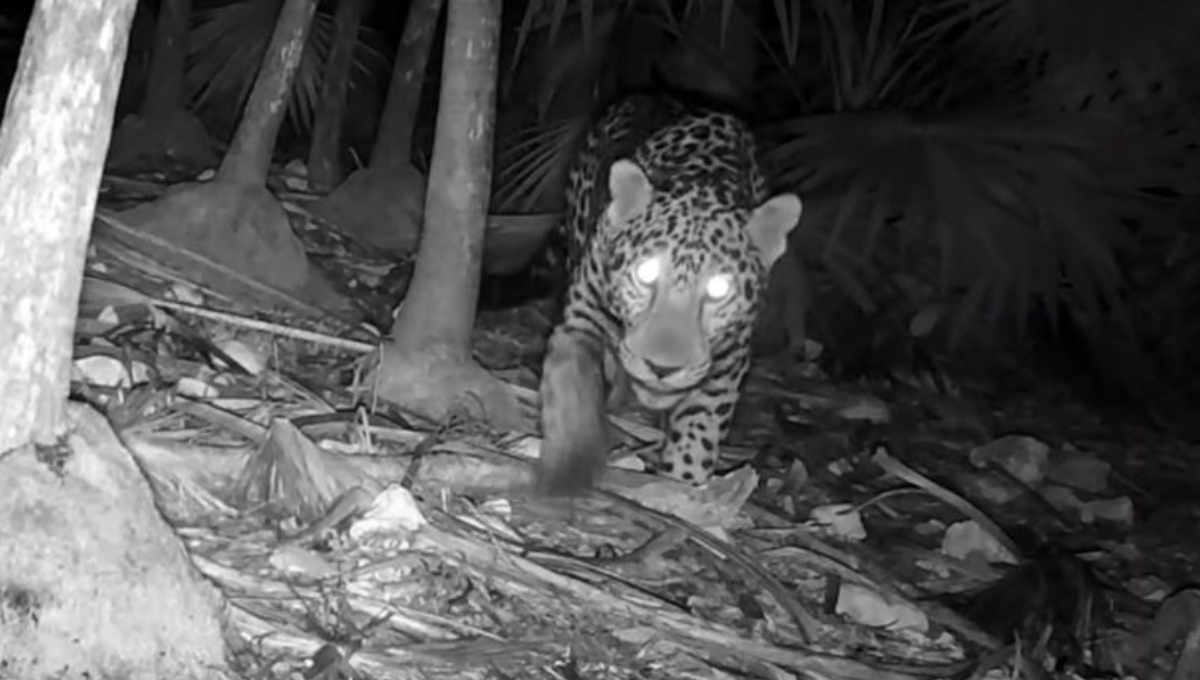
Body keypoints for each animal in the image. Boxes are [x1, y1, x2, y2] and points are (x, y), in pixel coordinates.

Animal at [537, 94, 803, 494]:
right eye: (645, 273)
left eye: (718, 289)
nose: (662, 369)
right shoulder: (581, 320)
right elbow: (573, 383)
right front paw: (569, 467)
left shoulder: (726, 367)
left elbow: (697, 438)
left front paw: (680, 489)